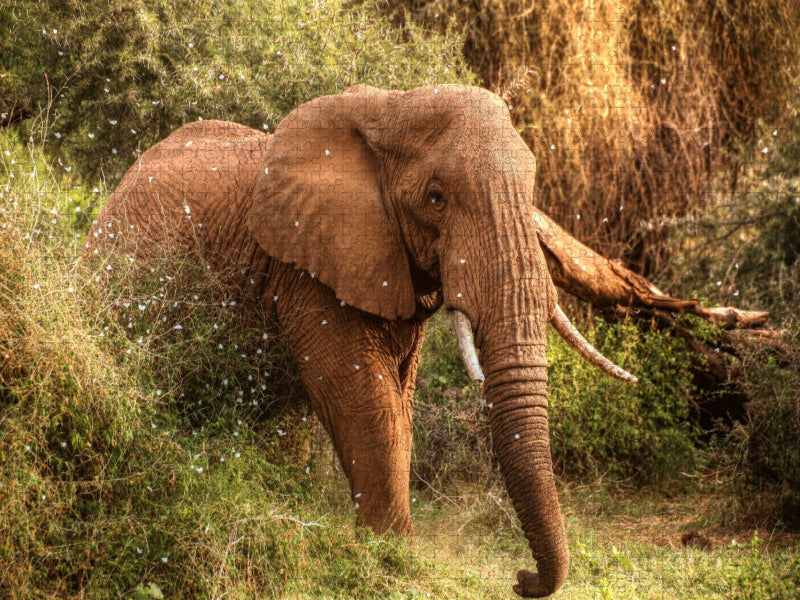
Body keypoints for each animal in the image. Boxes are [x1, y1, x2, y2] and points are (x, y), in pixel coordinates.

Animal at [84, 84, 636, 598]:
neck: (390, 108)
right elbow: (366, 398)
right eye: (436, 198)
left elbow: (400, 399)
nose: (521, 579)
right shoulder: (308, 264)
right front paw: (391, 556)